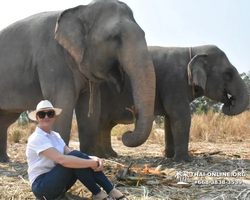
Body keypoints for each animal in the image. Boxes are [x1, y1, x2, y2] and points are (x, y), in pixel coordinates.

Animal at [0, 0, 156, 162]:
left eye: (143, 34)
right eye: (115, 37)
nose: (128, 132)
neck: (81, 10)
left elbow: (91, 109)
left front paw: (90, 157)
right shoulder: (52, 60)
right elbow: (62, 103)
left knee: (5, 120)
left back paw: (4, 160)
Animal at [79, 44, 249, 162]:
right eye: (228, 74)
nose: (228, 103)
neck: (192, 49)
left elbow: (169, 120)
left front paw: (168, 156)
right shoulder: (175, 82)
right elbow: (181, 117)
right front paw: (185, 160)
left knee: (106, 126)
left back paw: (111, 155)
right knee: (101, 123)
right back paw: (102, 156)